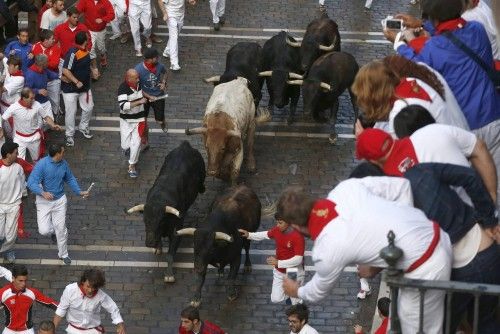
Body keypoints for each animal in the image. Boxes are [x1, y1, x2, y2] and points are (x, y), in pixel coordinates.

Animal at [126, 140, 206, 284]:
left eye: (161, 221)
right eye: (145, 221)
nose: (149, 243)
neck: (160, 198)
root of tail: (185, 145)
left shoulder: (176, 231)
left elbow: (170, 255)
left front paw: (169, 275)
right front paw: (157, 247)